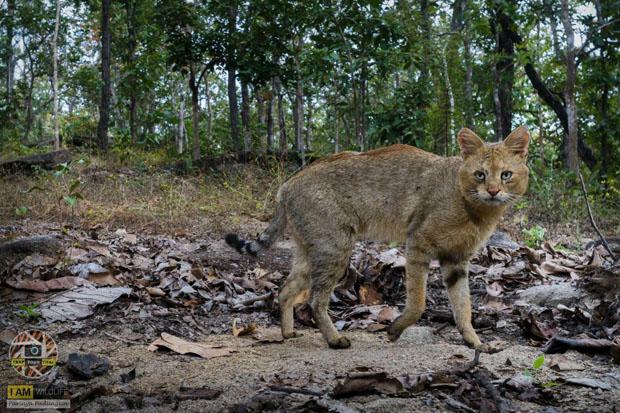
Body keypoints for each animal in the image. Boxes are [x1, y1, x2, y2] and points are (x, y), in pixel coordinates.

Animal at [225, 124, 532, 350]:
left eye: (506, 175)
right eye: (480, 175)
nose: (493, 191)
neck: (475, 210)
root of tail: (287, 185)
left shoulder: (456, 260)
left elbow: (463, 307)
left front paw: (474, 342)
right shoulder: (418, 245)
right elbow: (418, 302)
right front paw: (394, 330)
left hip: (311, 252)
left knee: (286, 290)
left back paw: (288, 333)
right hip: (335, 249)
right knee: (314, 299)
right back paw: (334, 339)